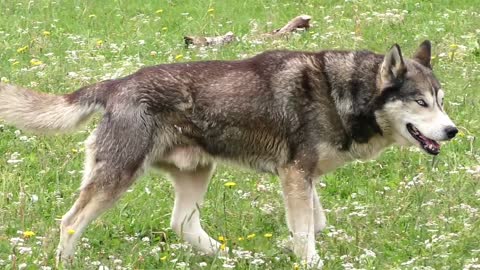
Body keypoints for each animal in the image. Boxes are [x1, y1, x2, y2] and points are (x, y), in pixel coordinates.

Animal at [0, 41, 458, 266]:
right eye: (420, 102)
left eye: (440, 101)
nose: (452, 130)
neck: (341, 93)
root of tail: (116, 84)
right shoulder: (295, 175)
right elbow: (305, 233)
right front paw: (309, 260)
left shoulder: (304, 179)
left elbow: (316, 225)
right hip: (117, 176)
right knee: (70, 223)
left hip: (197, 173)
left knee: (182, 224)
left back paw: (229, 256)